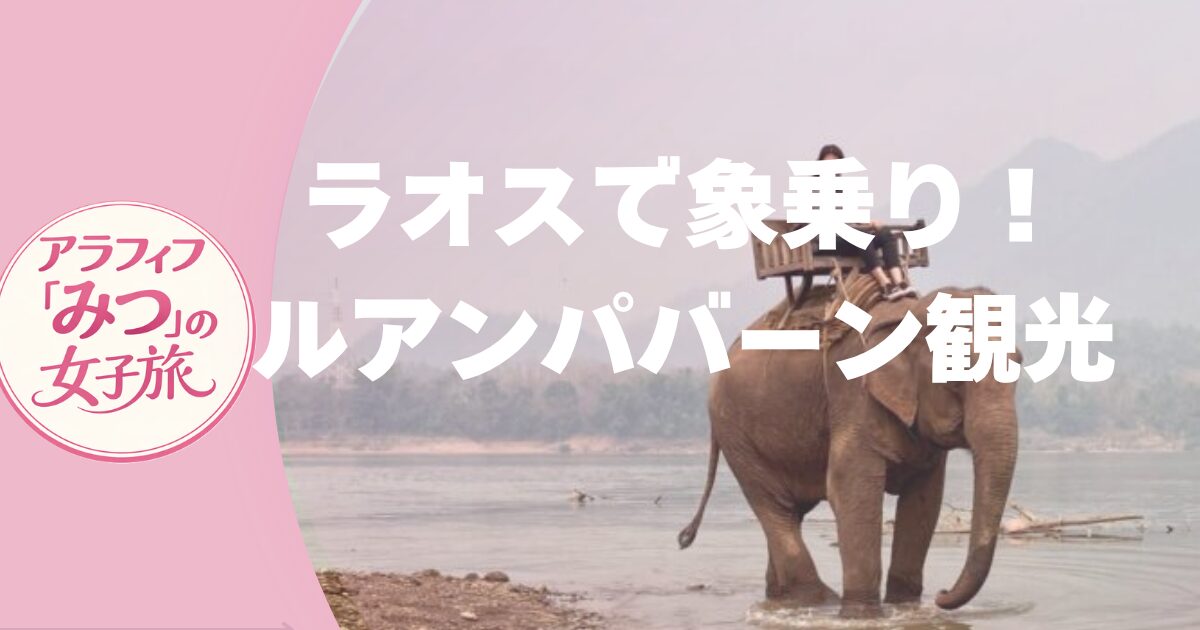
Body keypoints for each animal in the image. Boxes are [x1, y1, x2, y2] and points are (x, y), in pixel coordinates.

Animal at [677, 286, 1020, 617]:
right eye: (956, 378)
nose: (942, 594)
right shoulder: (853, 397)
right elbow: (850, 488)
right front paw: (863, 614)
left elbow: (925, 500)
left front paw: (905, 607)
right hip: (735, 433)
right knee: (774, 506)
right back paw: (818, 600)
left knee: (791, 511)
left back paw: (784, 599)